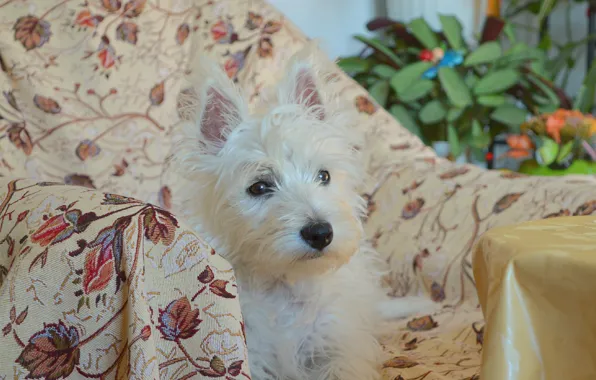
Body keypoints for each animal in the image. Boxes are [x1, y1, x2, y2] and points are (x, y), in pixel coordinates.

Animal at [171, 48, 434, 380]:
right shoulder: (254, 355)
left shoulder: (337, 345)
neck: (286, 286)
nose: (320, 233)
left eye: (324, 175)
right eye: (259, 187)